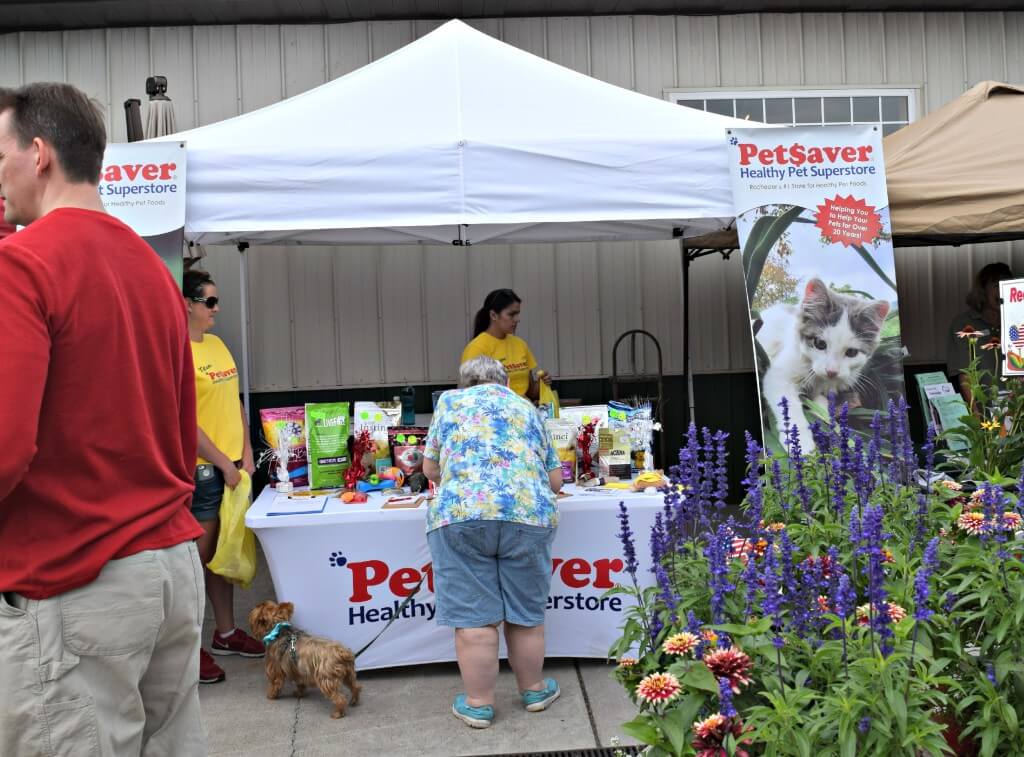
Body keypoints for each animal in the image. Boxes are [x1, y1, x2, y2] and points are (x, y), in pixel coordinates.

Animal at [757, 280, 892, 450]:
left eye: (852, 352)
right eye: (820, 344)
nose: (831, 371)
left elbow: (822, 400)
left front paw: (826, 415)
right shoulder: (778, 375)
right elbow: (788, 403)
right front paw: (800, 443)